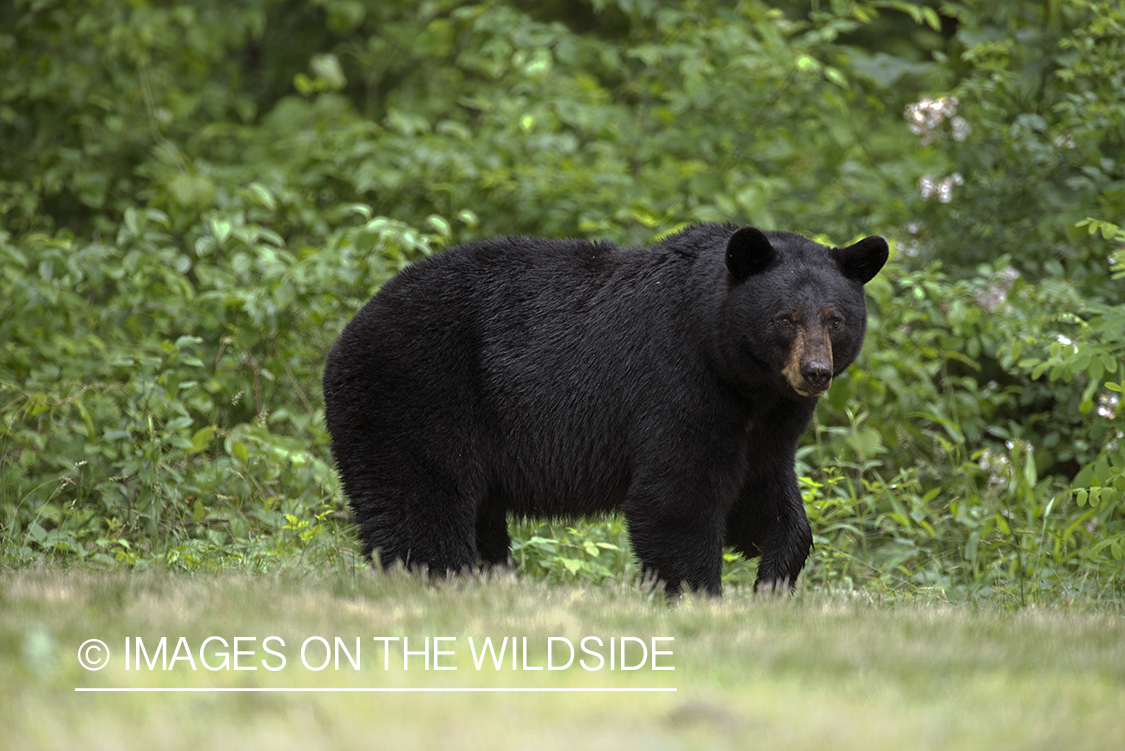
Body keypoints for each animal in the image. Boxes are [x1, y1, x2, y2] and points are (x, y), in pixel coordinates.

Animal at [323, 223, 887, 596]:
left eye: (834, 318)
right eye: (785, 318)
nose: (814, 372)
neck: (743, 380)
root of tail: (349, 330)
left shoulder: (768, 426)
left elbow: (764, 494)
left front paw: (772, 580)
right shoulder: (679, 386)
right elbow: (677, 497)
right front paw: (699, 594)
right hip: (417, 394)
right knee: (423, 501)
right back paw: (444, 580)